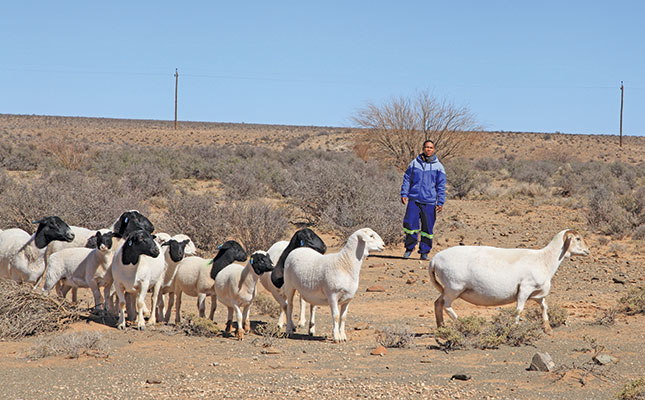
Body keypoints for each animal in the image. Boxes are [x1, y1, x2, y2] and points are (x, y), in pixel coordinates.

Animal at [428, 230, 588, 332]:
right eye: (578, 238)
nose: (588, 250)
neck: (545, 259)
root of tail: (434, 260)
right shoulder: (525, 288)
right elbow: (519, 309)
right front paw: (515, 327)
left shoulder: (537, 293)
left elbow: (544, 307)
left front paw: (548, 329)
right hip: (454, 287)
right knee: (446, 306)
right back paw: (461, 324)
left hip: (447, 289)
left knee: (437, 303)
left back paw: (441, 328)